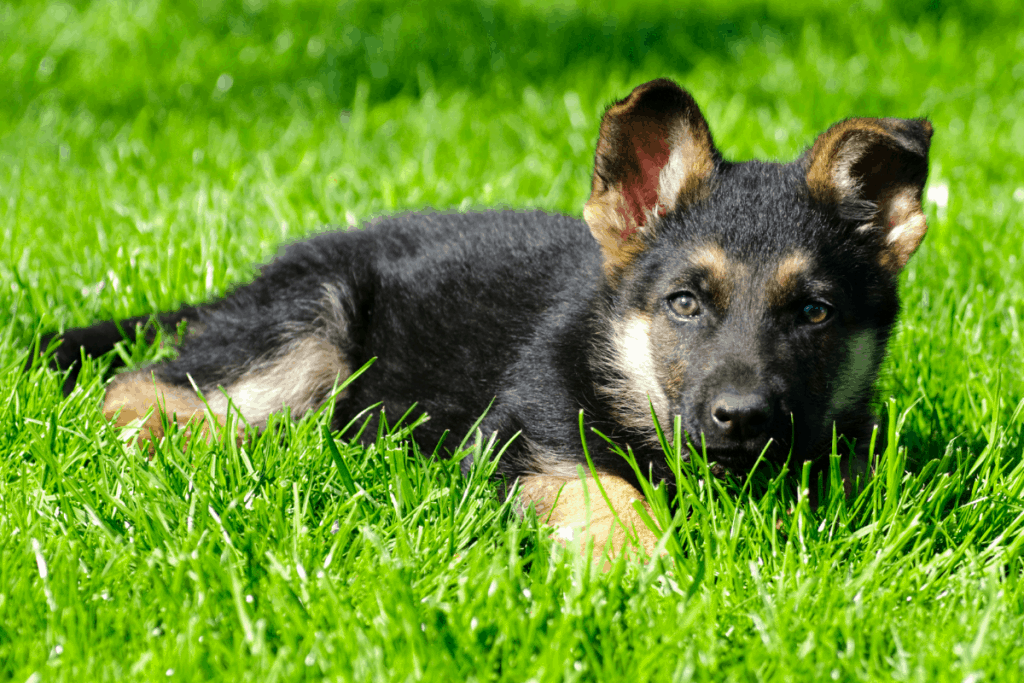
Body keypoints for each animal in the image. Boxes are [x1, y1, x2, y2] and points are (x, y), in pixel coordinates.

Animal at [39, 80, 933, 557]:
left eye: (813, 311)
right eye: (685, 303)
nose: (742, 418)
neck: (618, 356)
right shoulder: (521, 436)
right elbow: (608, 491)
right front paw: (643, 565)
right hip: (309, 330)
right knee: (141, 391)